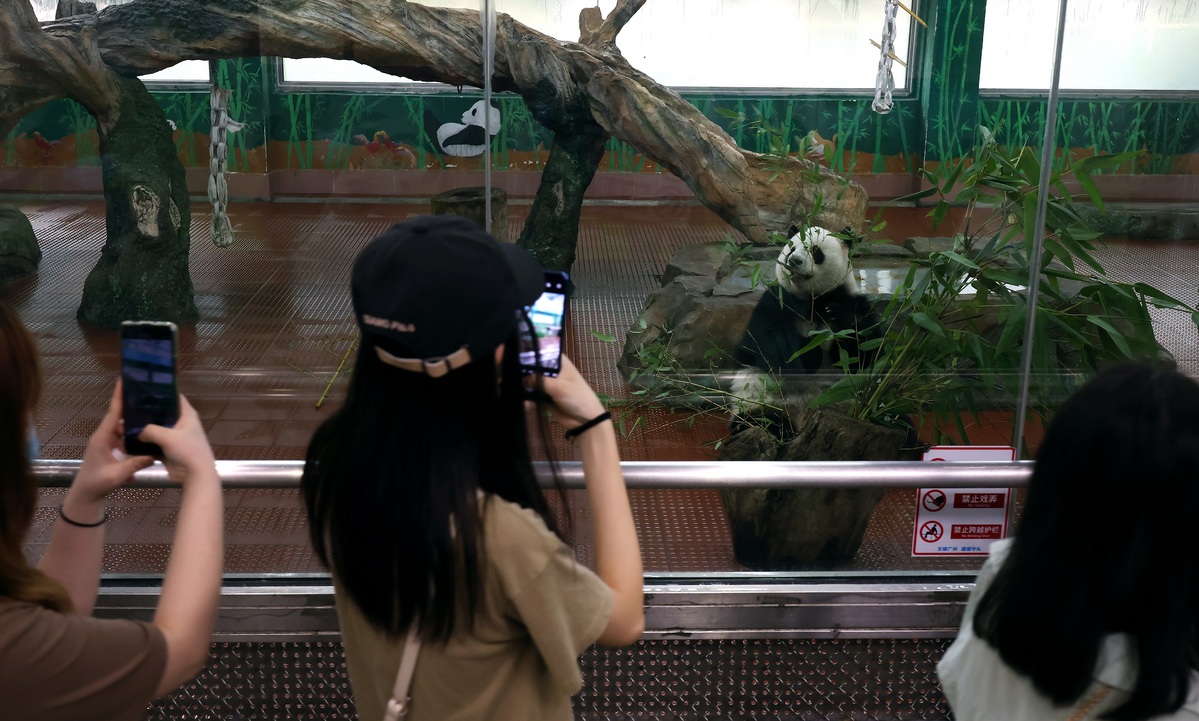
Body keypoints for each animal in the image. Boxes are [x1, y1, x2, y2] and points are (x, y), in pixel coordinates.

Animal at [729, 225, 879, 425]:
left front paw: (837, 315)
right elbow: (767, 346)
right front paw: (808, 351)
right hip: (760, 399)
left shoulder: (853, 301)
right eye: (791, 249)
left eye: (816, 251)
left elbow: (865, 351)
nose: (794, 261)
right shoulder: (776, 302)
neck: (811, 299)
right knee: (758, 419)